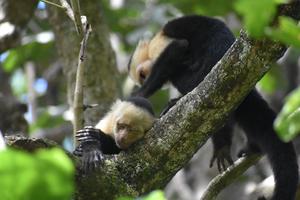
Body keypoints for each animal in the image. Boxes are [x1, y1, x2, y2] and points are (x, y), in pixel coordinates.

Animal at [127, 15, 298, 200]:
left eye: (143, 76)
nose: (144, 80)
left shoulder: (160, 46)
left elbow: (179, 47)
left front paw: (142, 92)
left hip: (209, 73)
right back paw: (245, 146)